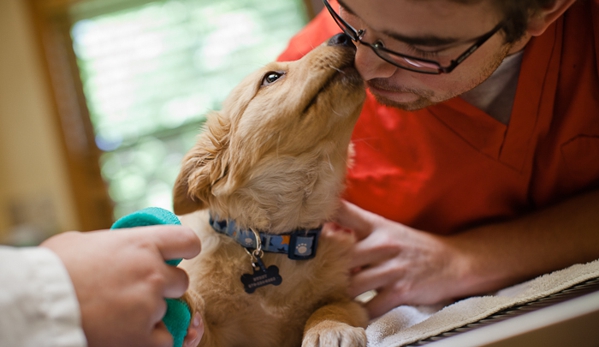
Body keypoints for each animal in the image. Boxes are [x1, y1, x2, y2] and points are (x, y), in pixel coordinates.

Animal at [173, 34, 368, 347]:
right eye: (272, 77)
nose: (344, 37)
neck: (275, 241)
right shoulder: (215, 336)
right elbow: (196, 318)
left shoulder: (352, 301)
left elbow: (331, 306)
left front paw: (329, 328)